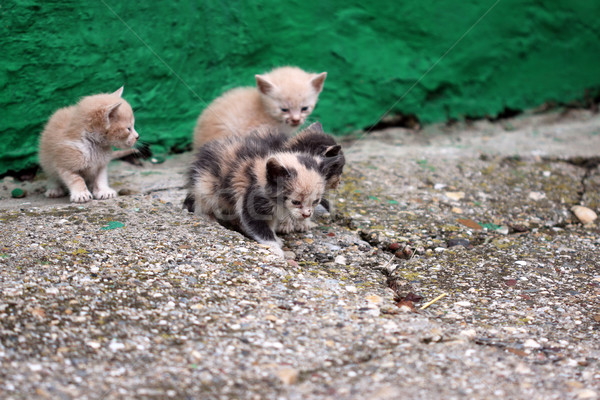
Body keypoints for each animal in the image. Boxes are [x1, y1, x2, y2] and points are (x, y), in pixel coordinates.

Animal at [185, 132, 330, 256]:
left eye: (316, 201)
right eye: (296, 202)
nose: (307, 214)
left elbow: (269, 224)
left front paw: (276, 239)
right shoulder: (251, 198)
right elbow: (258, 226)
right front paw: (274, 248)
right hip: (206, 186)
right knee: (203, 203)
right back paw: (209, 218)